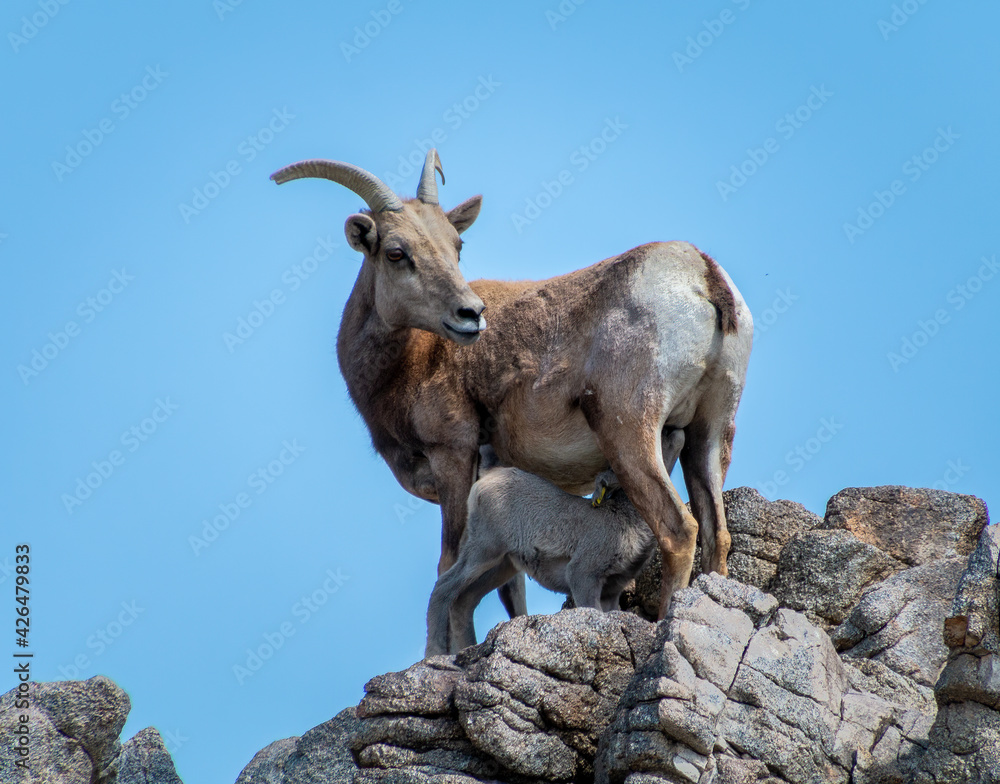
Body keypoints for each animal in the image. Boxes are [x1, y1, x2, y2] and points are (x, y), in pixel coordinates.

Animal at [272, 149, 752, 620]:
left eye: (456, 245)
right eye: (395, 252)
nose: (470, 314)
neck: (413, 360)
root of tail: (702, 274)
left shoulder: (453, 456)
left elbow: (449, 567)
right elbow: (511, 589)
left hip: (629, 431)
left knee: (679, 529)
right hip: (709, 434)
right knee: (716, 533)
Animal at [422, 428, 688, 656]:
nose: (673, 431)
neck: (625, 520)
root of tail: (489, 476)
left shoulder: (612, 590)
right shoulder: (583, 575)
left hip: (503, 565)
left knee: (465, 599)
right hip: (484, 549)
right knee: (444, 587)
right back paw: (436, 653)